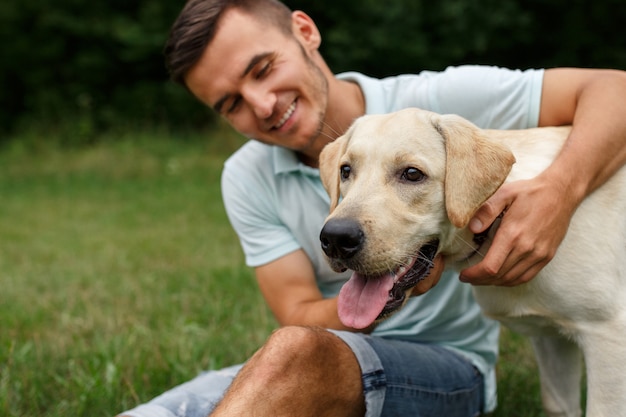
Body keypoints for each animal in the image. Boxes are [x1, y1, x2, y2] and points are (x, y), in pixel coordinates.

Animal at [320, 108, 620, 416]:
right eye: (346, 171)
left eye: (412, 174)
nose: (335, 238)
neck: (497, 222)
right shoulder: (550, 338)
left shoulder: (606, 336)